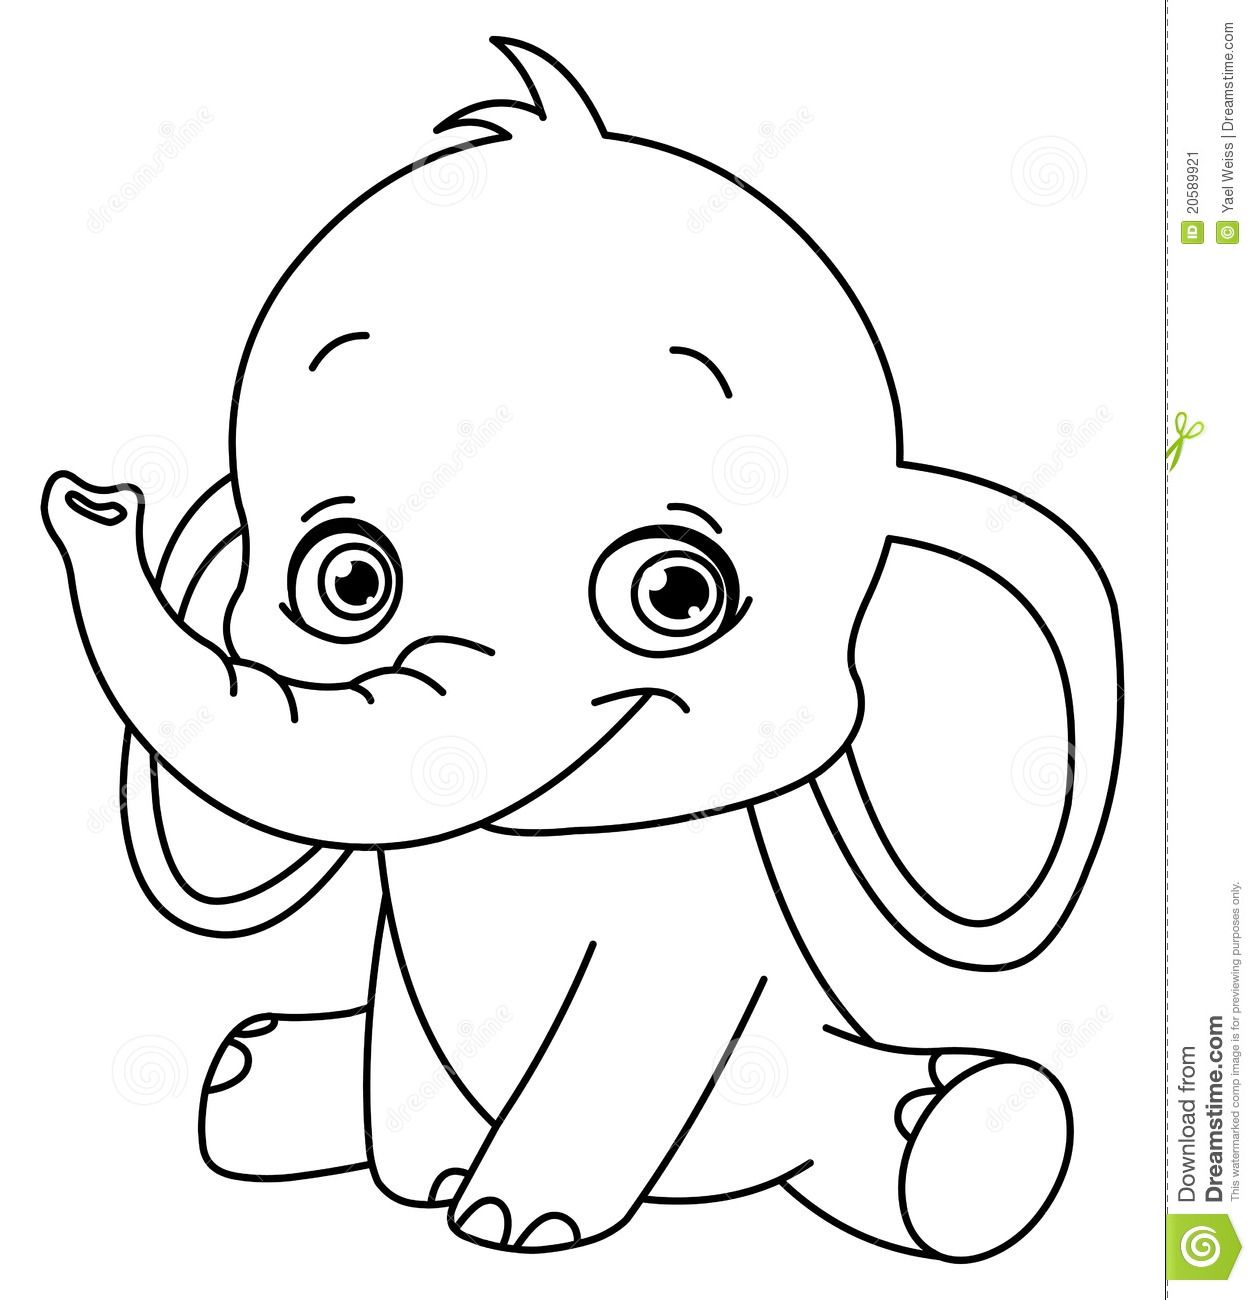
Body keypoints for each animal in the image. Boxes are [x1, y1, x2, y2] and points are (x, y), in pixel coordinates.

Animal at [42, 37, 1122, 1257]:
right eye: (348, 582)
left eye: (676, 592)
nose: (94, 502)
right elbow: (401, 1026)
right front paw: (426, 1179)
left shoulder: (685, 932)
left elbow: (632, 1026)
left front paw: (512, 1218)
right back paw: (249, 1068)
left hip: (807, 1091)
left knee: (917, 1131)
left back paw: (961, 1119)